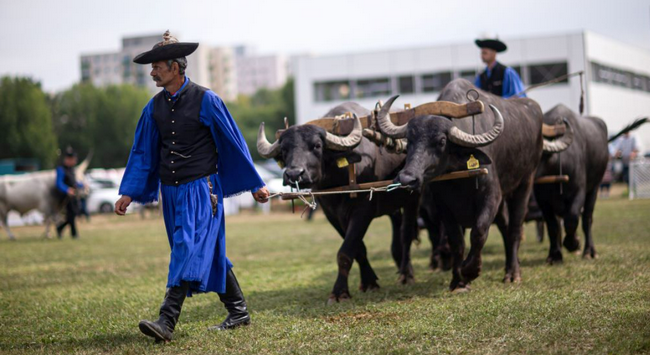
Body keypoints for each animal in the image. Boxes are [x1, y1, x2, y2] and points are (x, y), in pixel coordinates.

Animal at [256, 102, 418, 304]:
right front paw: (369, 282)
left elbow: (345, 251)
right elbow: (358, 249)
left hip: (413, 197)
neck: (338, 182)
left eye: (317, 145)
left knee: (406, 234)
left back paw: (407, 274)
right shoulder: (332, 215)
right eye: (284, 150)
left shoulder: (363, 211)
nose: (294, 174)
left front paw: (339, 292)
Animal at [378, 79, 568, 290]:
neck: (459, 179)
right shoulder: (443, 206)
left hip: (525, 183)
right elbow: (457, 241)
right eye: (409, 140)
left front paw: (470, 271)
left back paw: (513, 272)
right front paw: (457, 281)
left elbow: (479, 232)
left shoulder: (491, 197)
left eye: (441, 141)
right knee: (505, 227)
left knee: (515, 228)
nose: (407, 178)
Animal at [532, 104, 608, 262]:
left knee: (587, 219)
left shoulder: (579, 192)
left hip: (595, 188)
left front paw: (573, 244)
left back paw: (589, 251)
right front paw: (555, 255)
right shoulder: (543, 201)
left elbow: (572, 219)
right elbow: (553, 226)